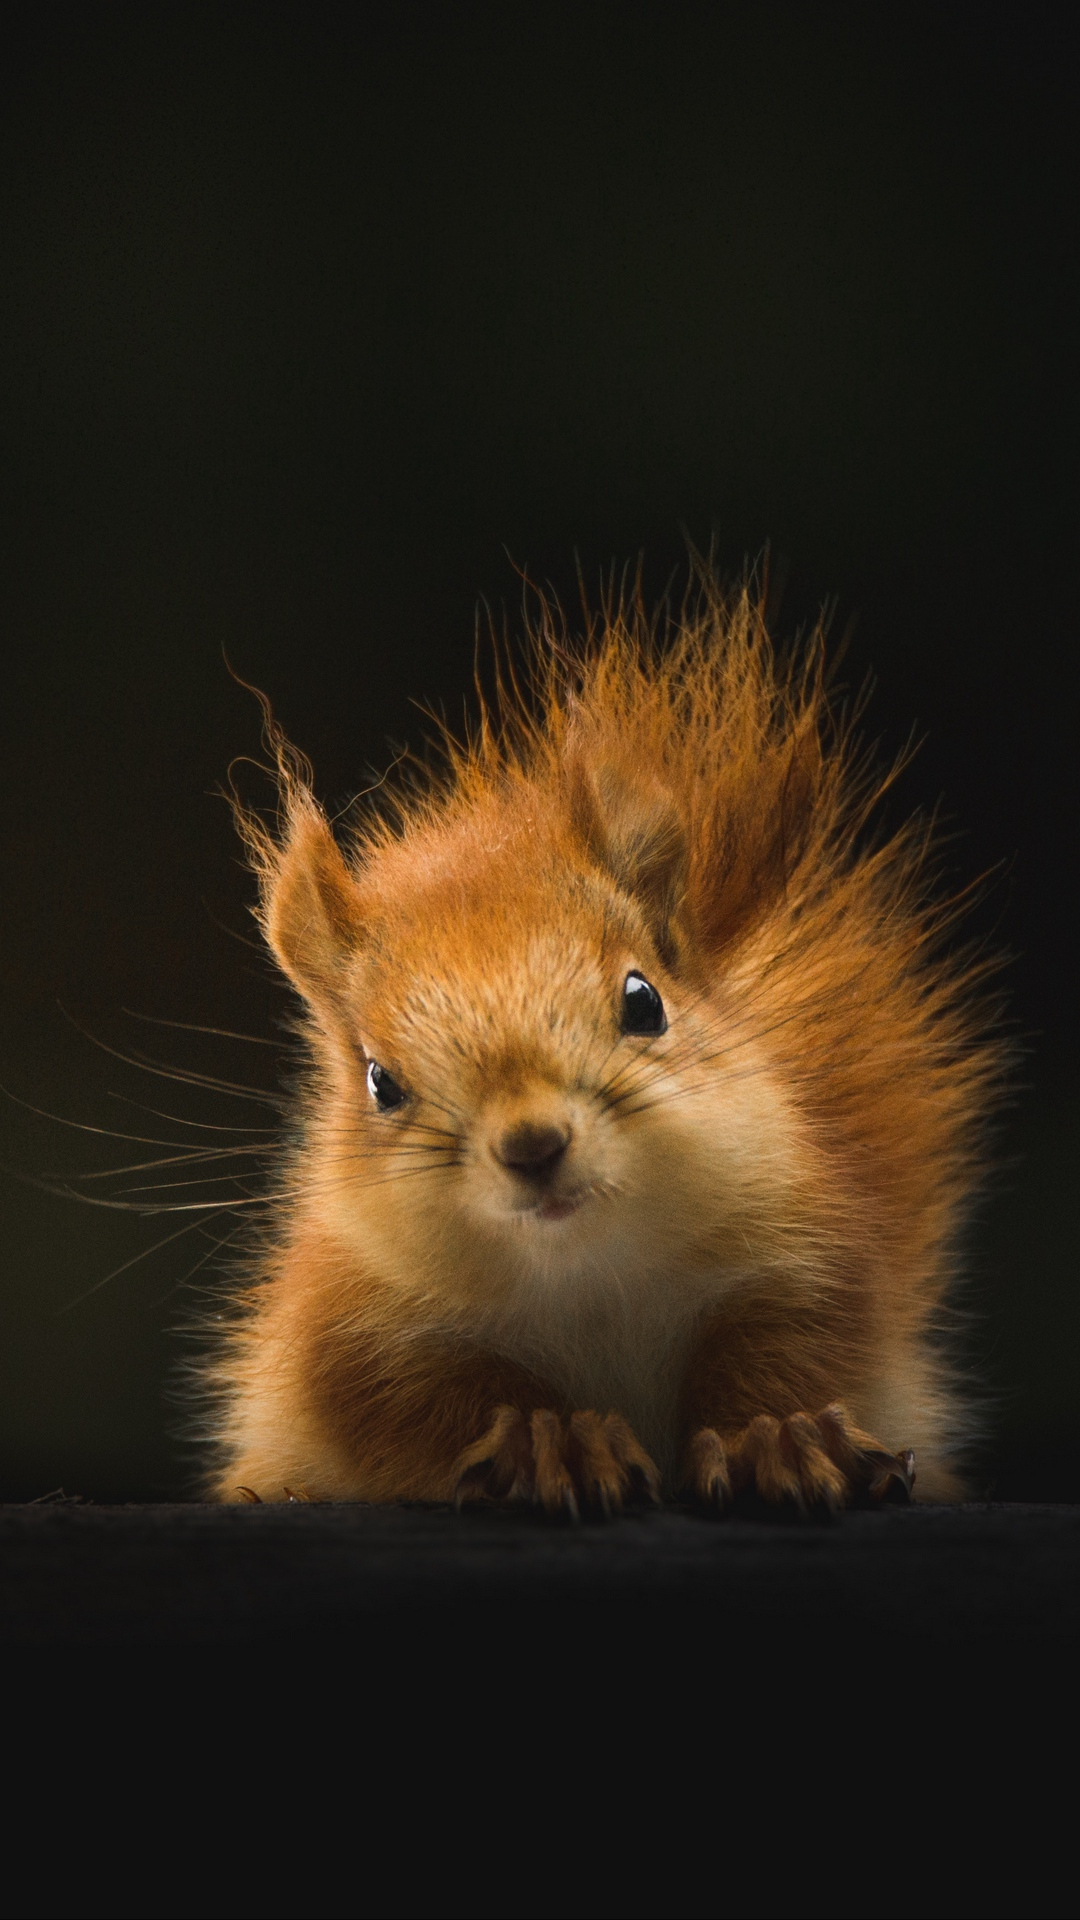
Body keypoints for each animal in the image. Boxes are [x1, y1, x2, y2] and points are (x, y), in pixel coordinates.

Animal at [203, 572, 999, 1512]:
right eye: (379, 1083)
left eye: (644, 1002)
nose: (532, 1145)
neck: (587, 1275)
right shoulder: (352, 1330)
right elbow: (427, 1402)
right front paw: (553, 1441)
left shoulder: (805, 1251)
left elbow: (791, 1349)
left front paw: (780, 1436)